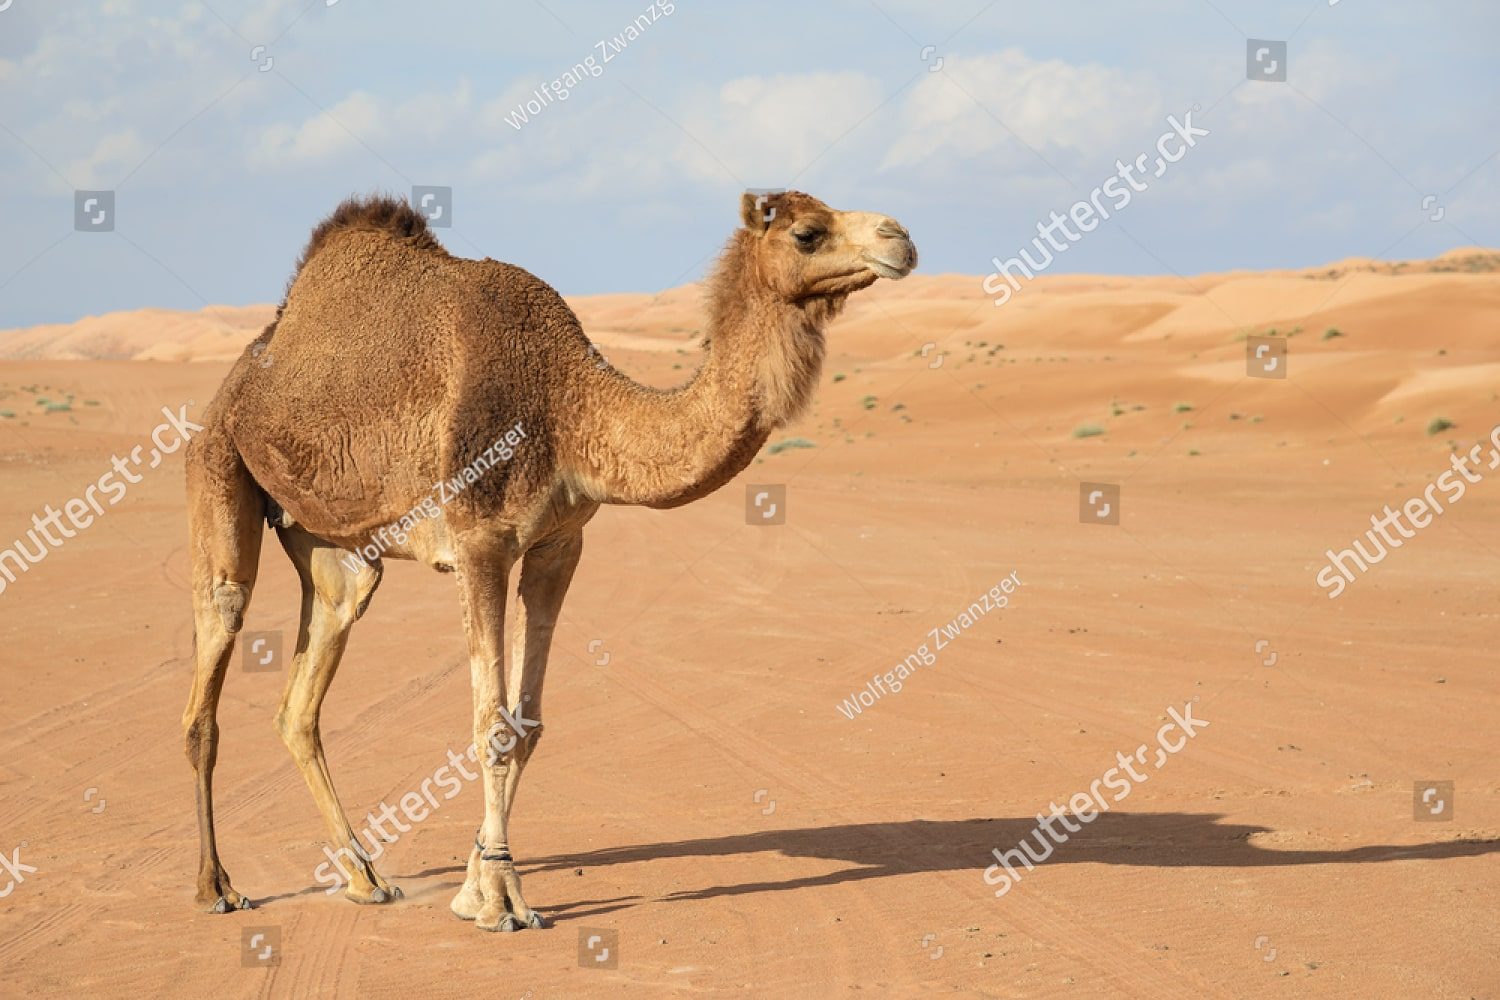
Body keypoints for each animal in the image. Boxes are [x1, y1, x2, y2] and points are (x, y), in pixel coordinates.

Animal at [181, 189, 917, 931]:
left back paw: (365, 877)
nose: (902, 239)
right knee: (215, 651)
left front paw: (476, 881)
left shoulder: (559, 546)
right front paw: (500, 900)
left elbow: (527, 724)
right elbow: (490, 725)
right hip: (217, 464)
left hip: (335, 550)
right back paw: (217, 886)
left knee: (303, 696)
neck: (567, 403)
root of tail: (242, 375)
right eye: (807, 232)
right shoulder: (479, 540)